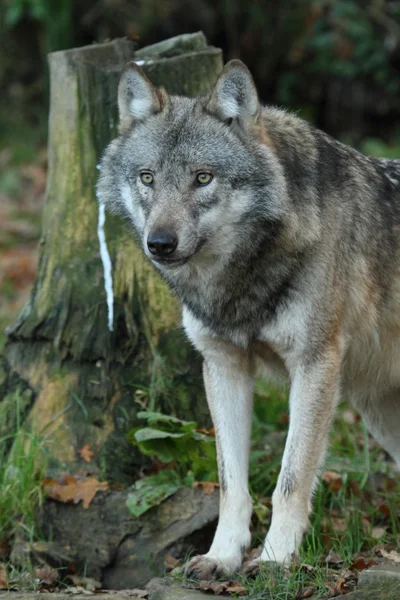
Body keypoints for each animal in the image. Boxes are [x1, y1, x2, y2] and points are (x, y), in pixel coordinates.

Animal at [97, 59, 400, 576]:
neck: (239, 280)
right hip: (379, 411)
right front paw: (222, 556)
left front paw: (277, 559)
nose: (160, 243)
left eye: (203, 178)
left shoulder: (314, 366)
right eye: (147, 177)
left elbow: (290, 480)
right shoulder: (223, 366)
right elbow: (230, 483)